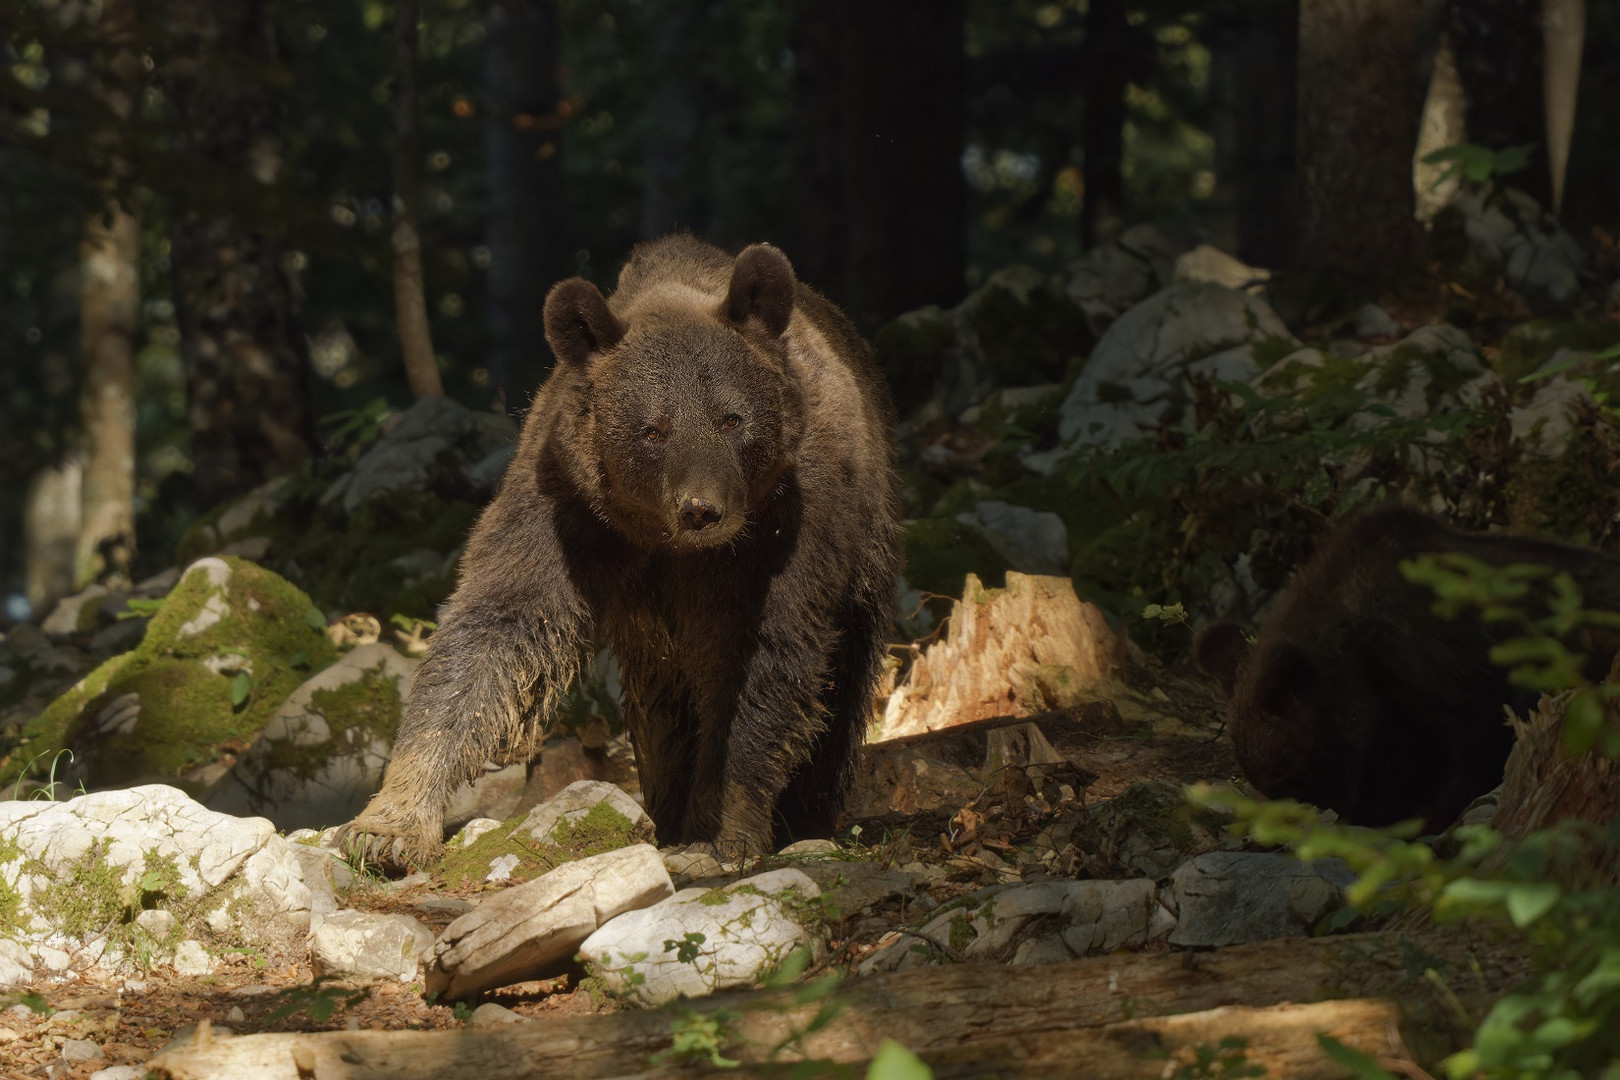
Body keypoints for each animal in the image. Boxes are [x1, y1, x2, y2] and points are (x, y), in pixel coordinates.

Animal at [340, 236, 907, 867]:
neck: (664, 541)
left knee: (841, 686)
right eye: (652, 429)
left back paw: (804, 812)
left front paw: (728, 827)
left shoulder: (788, 529)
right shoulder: (566, 510)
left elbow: (768, 658)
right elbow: (492, 633)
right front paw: (388, 824)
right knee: (663, 718)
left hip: (866, 554)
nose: (702, 509)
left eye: (731, 418)